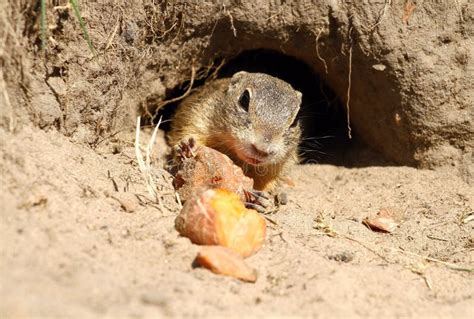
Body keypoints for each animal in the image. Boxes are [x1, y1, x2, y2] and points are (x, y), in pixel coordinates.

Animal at [168, 72, 302, 192]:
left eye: (295, 121)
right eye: (244, 99)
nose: (262, 150)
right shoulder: (198, 117)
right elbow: (189, 132)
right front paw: (187, 146)